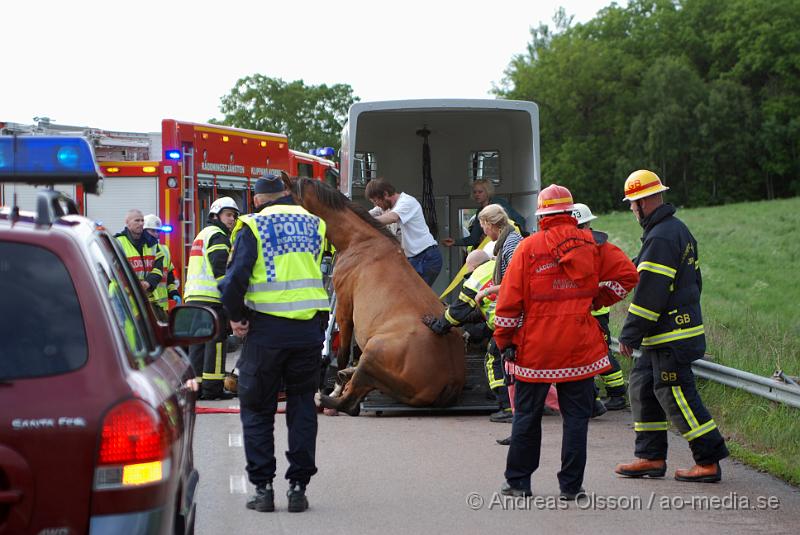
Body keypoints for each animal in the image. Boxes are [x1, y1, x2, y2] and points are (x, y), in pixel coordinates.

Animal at [294, 178, 466, 416]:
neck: (360, 242)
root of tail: (452, 379)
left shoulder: (344, 306)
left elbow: (342, 351)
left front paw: (333, 388)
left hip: (372, 353)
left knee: (350, 404)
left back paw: (326, 396)